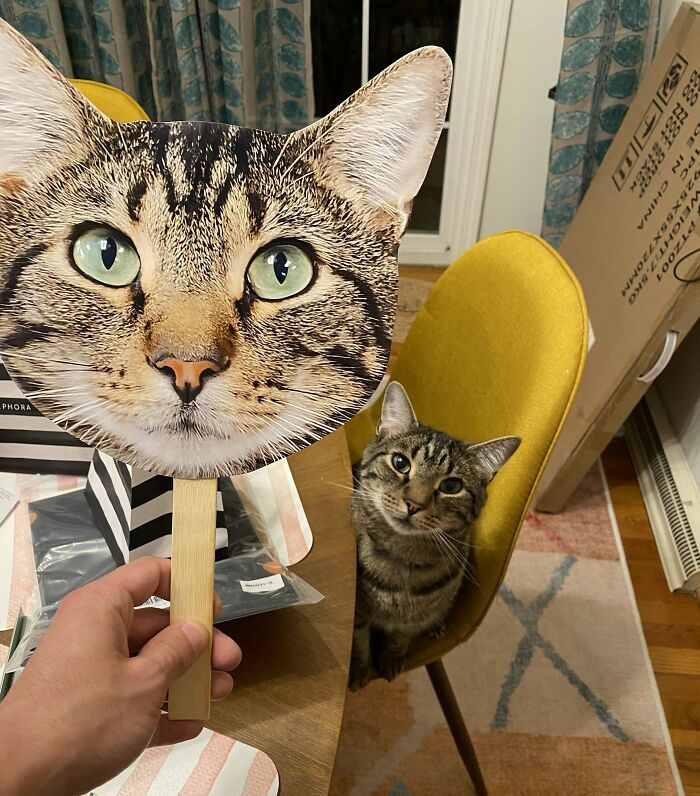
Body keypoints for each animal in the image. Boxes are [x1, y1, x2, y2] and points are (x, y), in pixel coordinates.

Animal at [352, 382, 516, 688]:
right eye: (400, 463)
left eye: (451, 486)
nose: (414, 504)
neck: (401, 558)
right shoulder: (358, 612)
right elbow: (357, 643)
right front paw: (357, 670)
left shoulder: (413, 619)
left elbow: (399, 638)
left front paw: (390, 659)